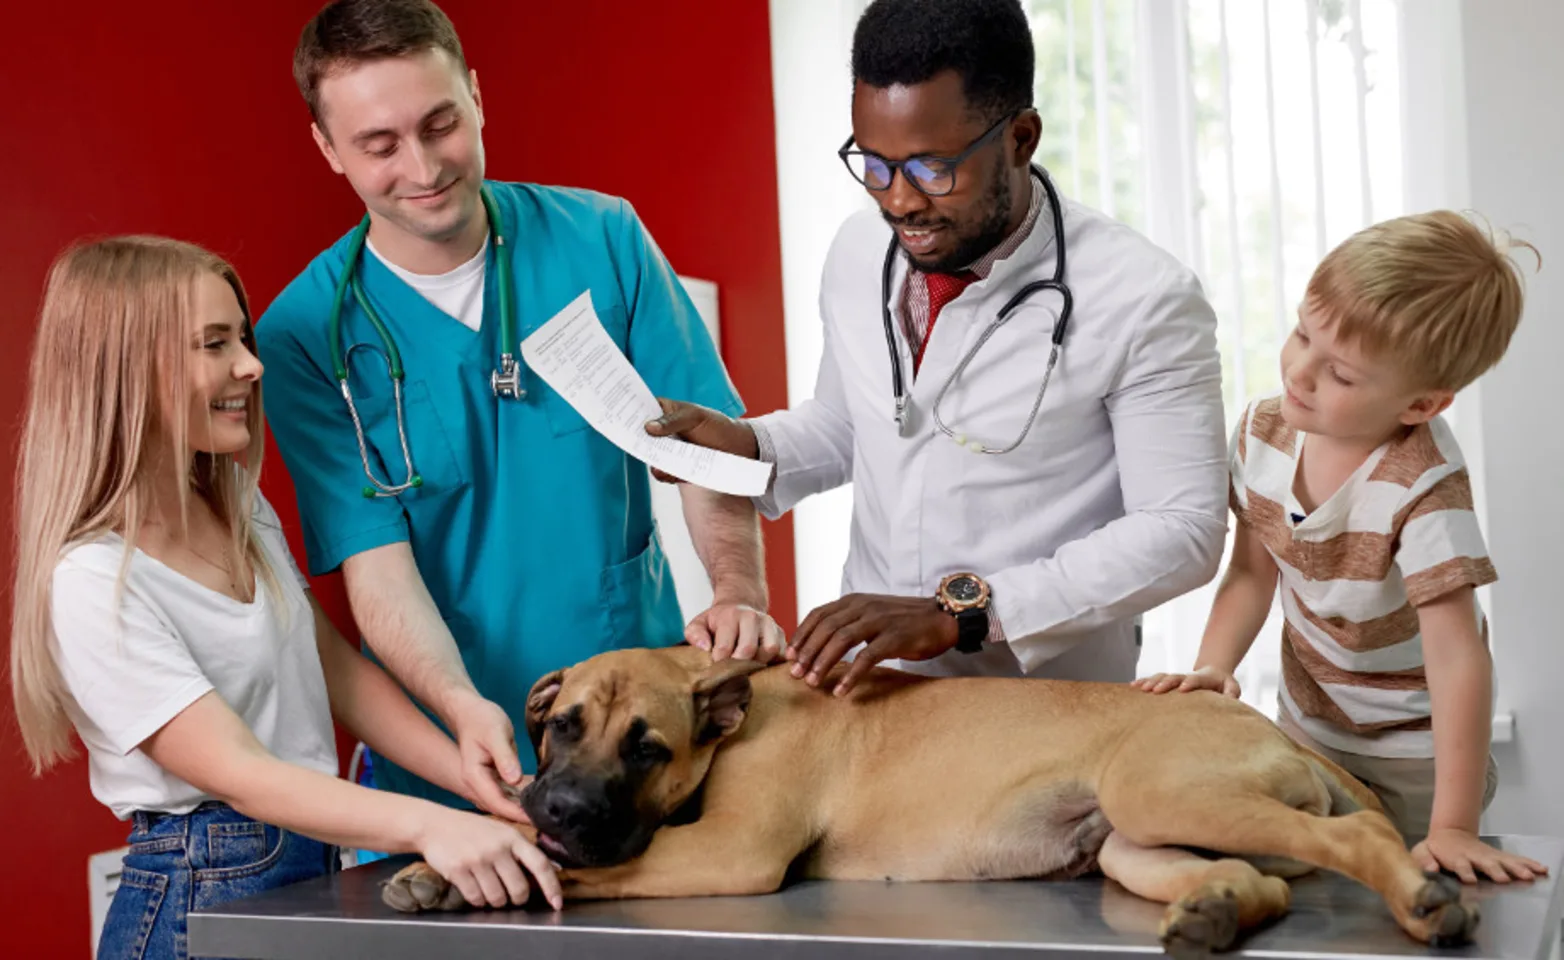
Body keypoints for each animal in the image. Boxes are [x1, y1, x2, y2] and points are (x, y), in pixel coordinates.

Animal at [378, 647, 1476, 956]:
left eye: (647, 750)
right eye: (560, 727)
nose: (561, 807)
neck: (727, 710)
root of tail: (1272, 727)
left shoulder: (725, 851)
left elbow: (597, 871)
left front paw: (493, 866)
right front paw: (446, 867)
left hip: (1163, 789)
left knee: (1363, 832)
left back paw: (1424, 901)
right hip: (1141, 837)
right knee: (1266, 883)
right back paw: (1209, 914)